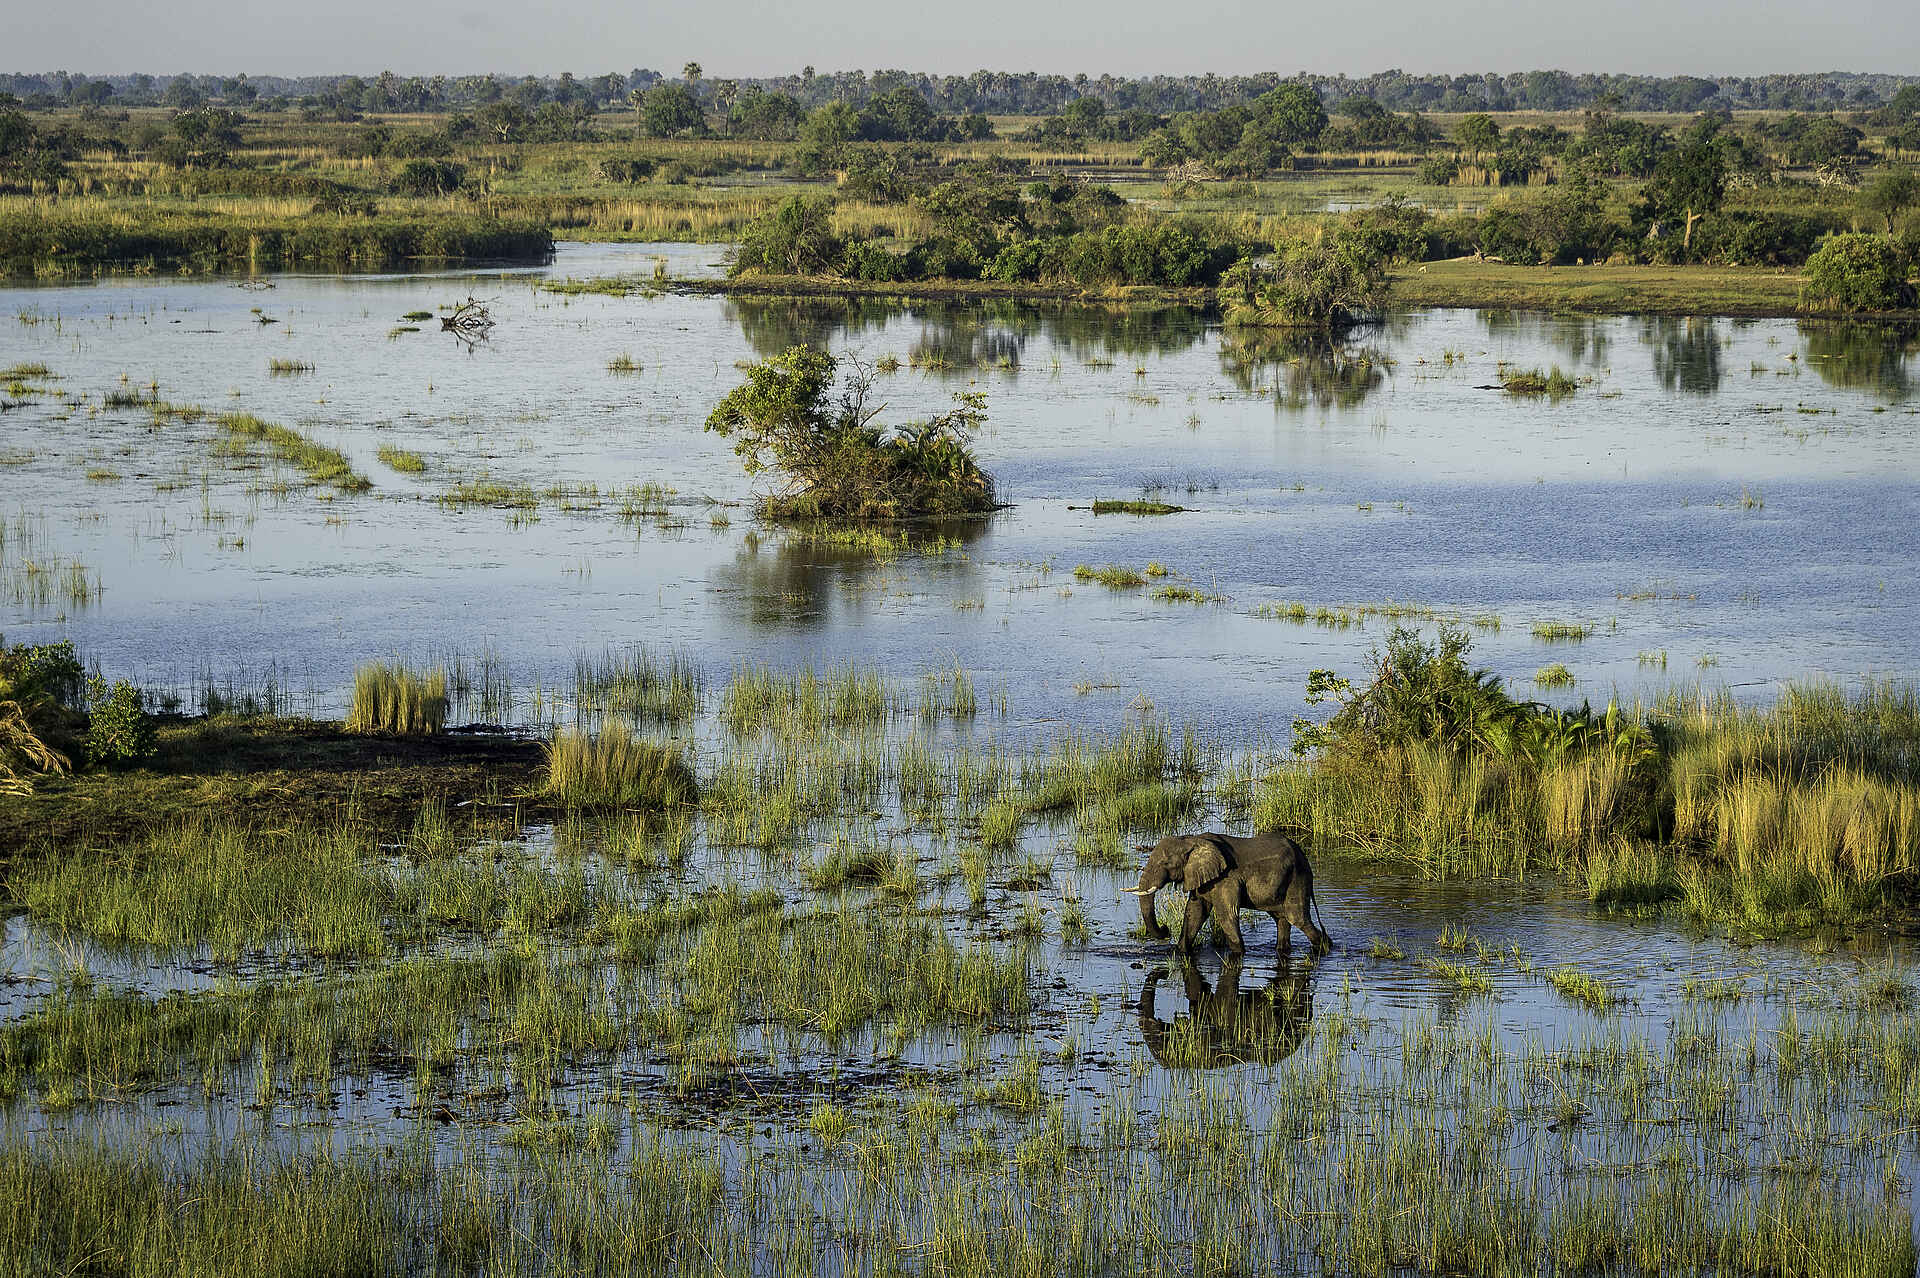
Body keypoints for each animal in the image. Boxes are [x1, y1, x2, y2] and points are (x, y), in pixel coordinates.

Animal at [1123, 831, 1331, 956]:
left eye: (1165, 863)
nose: (1166, 929)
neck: (1191, 839)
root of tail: (1304, 856)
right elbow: (1194, 913)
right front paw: (1180, 951)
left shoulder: (1226, 878)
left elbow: (1226, 915)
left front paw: (1238, 954)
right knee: (1281, 918)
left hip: (1298, 878)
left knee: (1297, 917)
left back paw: (1325, 947)